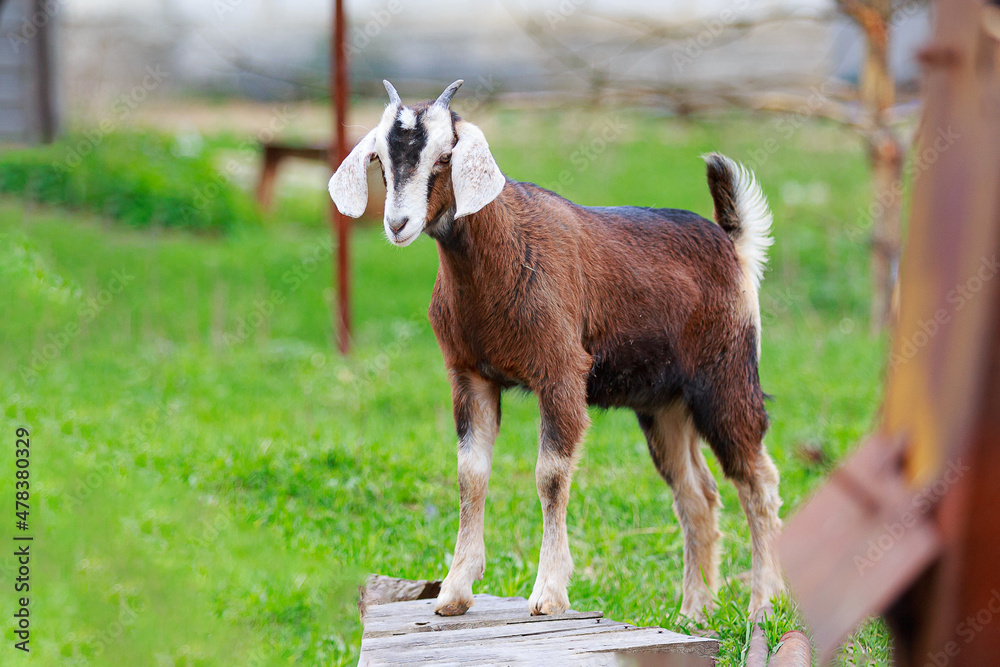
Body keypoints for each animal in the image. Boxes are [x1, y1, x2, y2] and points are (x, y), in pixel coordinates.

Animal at [329, 79, 784, 620]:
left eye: (444, 157)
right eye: (379, 158)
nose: (398, 224)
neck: (502, 255)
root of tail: (733, 245)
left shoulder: (561, 369)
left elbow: (550, 474)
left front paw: (548, 592)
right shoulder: (469, 375)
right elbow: (470, 474)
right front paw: (455, 591)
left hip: (725, 375)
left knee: (757, 481)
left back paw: (764, 605)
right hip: (663, 403)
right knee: (698, 495)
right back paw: (693, 611)